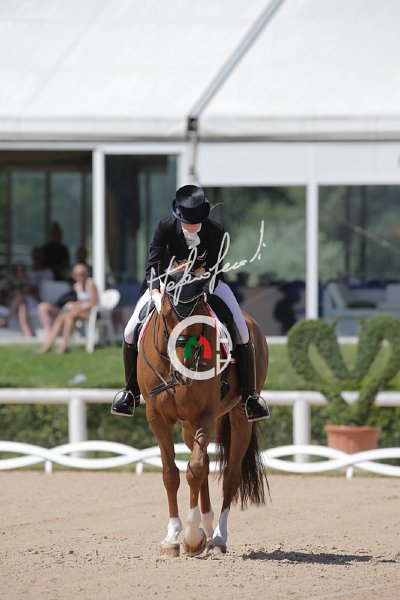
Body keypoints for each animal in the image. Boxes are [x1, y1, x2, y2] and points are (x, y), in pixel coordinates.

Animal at [137, 269, 269, 556]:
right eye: (166, 317)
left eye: (199, 316)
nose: (185, 369)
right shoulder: (157, 418)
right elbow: (171, 473)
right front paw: (172, 538)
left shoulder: (206, 415)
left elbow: (194, 470)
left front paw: (192, 538)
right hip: (188, 425)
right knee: (205, 463)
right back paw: (207, 527)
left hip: (239, 416)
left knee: (230, 474)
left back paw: (217, 536)